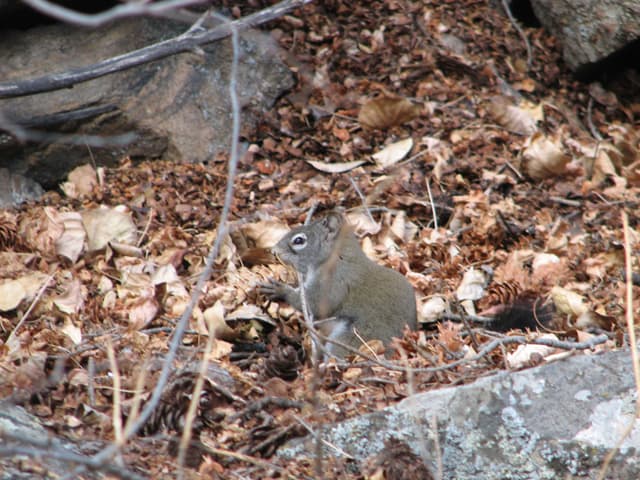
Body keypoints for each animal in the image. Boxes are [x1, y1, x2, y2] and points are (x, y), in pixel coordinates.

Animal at [261, 212, 417, 358]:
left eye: (299, 240)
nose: (274, 251)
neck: (333, 257)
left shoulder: (332, 281)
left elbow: (313, 304)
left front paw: (280, 290)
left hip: (353, 339)